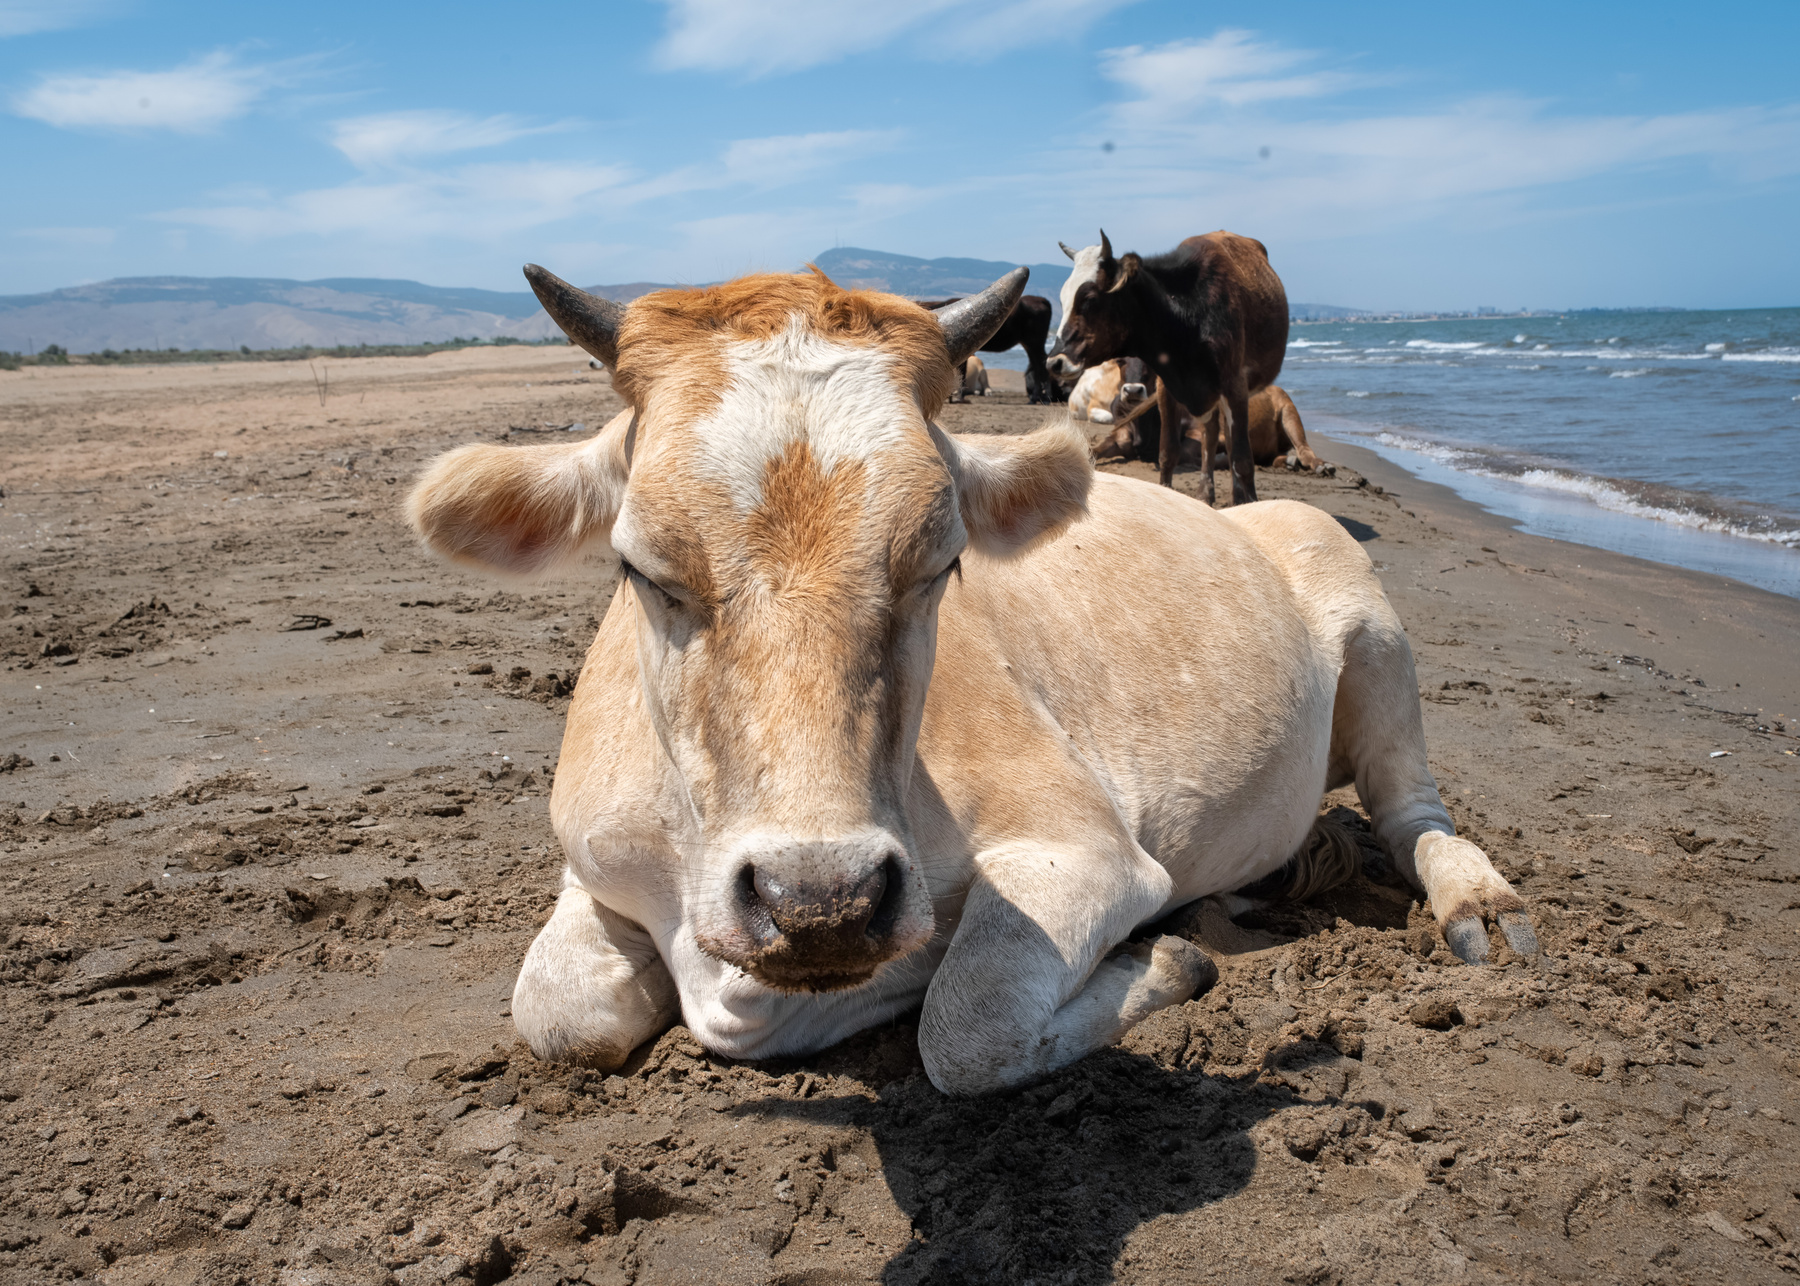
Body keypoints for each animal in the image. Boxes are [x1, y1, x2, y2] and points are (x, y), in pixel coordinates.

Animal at [917, 293, 1063, 405]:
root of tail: (1041, 299)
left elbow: (962, 372)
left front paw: (959, 396)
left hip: (1034, 342)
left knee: (1041, 365)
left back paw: (1044, 398)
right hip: (1029, 344)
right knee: (1037, 365)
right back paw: (1036, 398)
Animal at [1052, 231, 1288, 504]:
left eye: (1089, 299)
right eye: (1062, 300)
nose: (1054, 362)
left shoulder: (1235, 386)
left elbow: (1242, 460)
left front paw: (1248, 501)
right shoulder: (1167, 387)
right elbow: (1167, 453)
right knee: (1210, 437)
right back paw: (1205, 493)